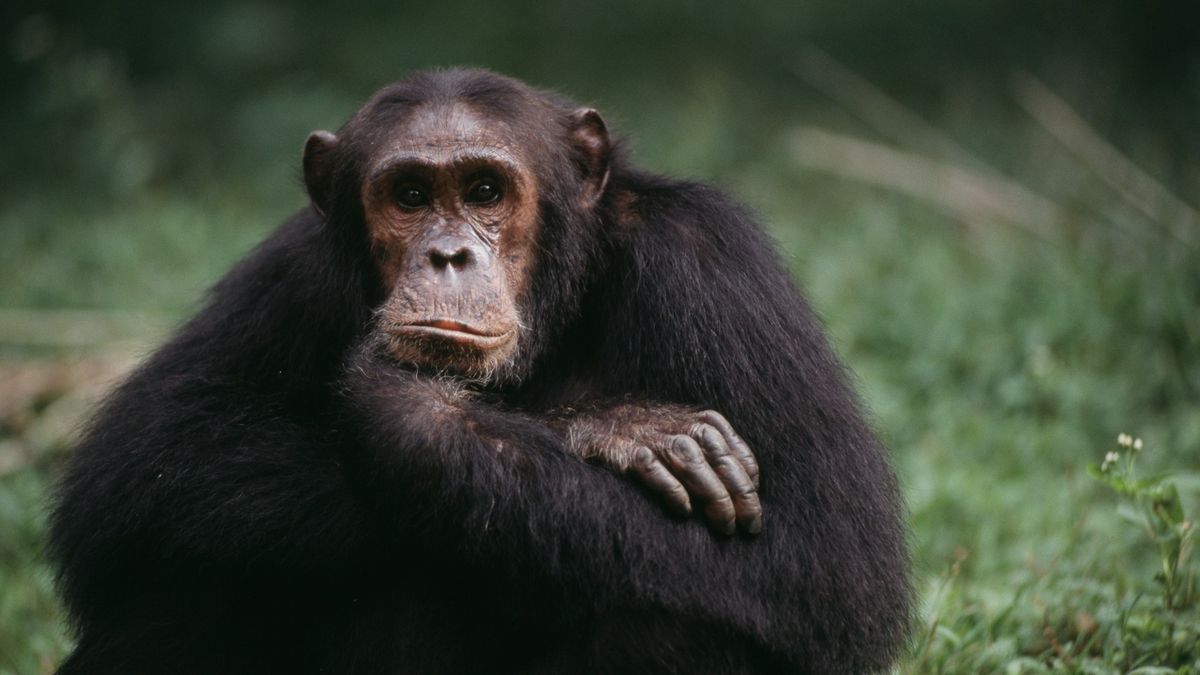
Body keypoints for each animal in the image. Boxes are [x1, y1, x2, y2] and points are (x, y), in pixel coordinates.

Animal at [46, 65, 907, 667]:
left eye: (486, 189)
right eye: (410, 194)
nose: (448, 254)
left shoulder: (712, 263)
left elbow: (824, 559)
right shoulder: (288, 272)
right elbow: (140, 461)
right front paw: (618, 428)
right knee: (175, 580)